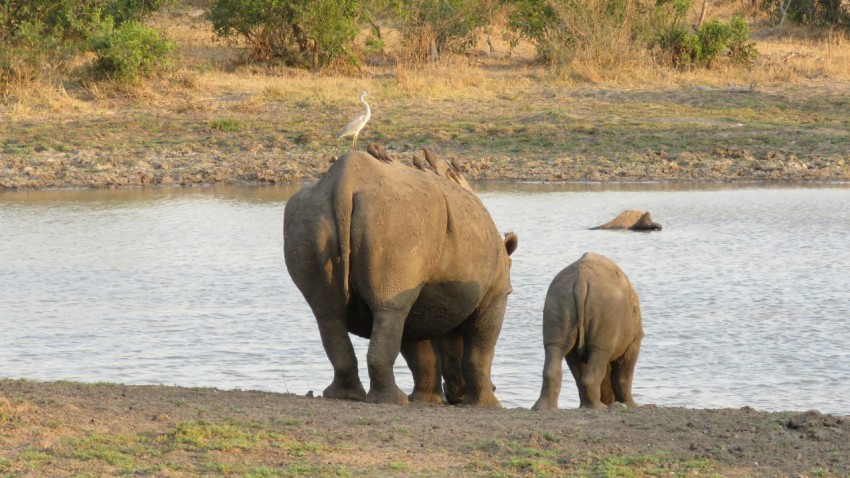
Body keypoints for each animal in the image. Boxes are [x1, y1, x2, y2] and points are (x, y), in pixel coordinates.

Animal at [284, 150, 517, 407]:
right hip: (398, 219)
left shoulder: (426, 300)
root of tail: (344, 180)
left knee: (329, 315)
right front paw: (488, 405)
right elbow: (481, 350)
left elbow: (421, 353)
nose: (455, 396)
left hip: (310, 217)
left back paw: (346, 396)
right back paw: (392, 400)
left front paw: (428, 401)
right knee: (388, 311)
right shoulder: (496, 294)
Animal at [532, 252, 643, 411]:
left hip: (557, 296)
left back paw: (544, 408)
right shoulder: (635, 339)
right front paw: (631, 405)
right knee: (600, 351)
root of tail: (581, 280)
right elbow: (624, 372)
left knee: (556, 348)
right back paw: (599, 407)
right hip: (608, 305)